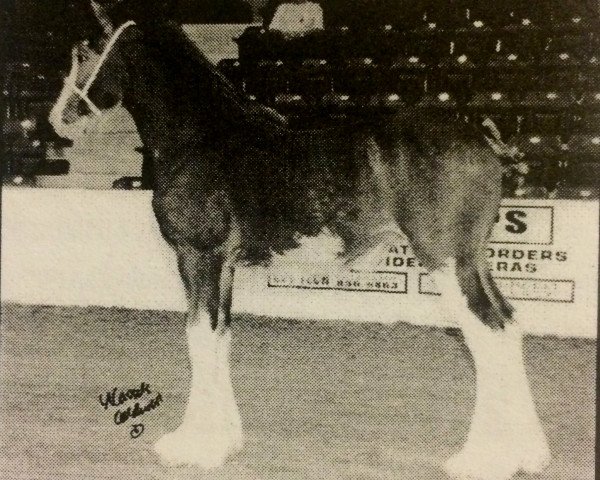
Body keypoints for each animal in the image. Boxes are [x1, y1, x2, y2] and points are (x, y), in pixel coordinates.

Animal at [49, 1, 552, 478]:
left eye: (84, 51)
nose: (58, 120)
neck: (204, 137)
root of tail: (480, 134)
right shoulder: (224, 264)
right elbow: (219, 336)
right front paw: (224, 441)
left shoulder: (198, 257)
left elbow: (198, 338)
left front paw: (193, 447)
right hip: (474, 260)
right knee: (508, 326)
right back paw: (529, 454)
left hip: (447, 260)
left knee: (487, 335)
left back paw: (482, 460)